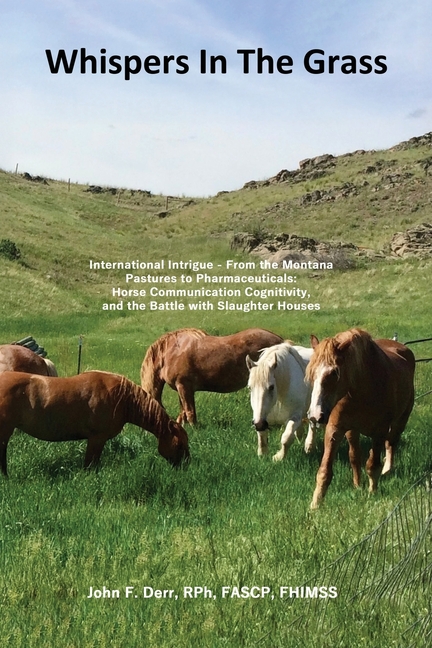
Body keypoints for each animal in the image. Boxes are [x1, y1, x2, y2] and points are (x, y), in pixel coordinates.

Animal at [140, 327, 283, 425]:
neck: (171, 352)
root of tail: (280, 341)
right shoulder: (181, 388)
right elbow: (183, 412)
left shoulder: (184, 386)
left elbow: (189, 411)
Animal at [306, 329, 415, 509]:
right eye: (311, 372)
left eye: (334, 373)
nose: (315, 415)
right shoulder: (335, 428)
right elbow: (325, 471)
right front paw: (315, 505)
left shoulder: (380, 430)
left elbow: (372, 465)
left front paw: (372, 492)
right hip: (352, 430)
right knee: (355, 456)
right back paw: (357, 484)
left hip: (401, 421)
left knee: (391, 443)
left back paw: (387, 469)